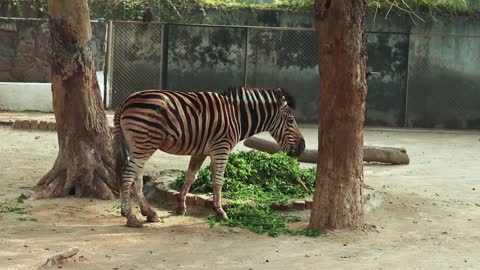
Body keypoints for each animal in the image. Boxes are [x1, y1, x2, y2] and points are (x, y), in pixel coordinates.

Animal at [113, 86, 304, 228]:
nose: (302, 147)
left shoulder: (200, 151)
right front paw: (220, 211)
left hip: (138, 146)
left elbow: (190, 177)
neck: (237, 116)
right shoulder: (221, 148)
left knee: (136, 178)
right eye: (290, 121)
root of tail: (125, 101)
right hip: (144, 144)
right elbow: (218, 181)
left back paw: (149, 213)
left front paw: (181, 206)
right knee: (128, 175)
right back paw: (130, 216)